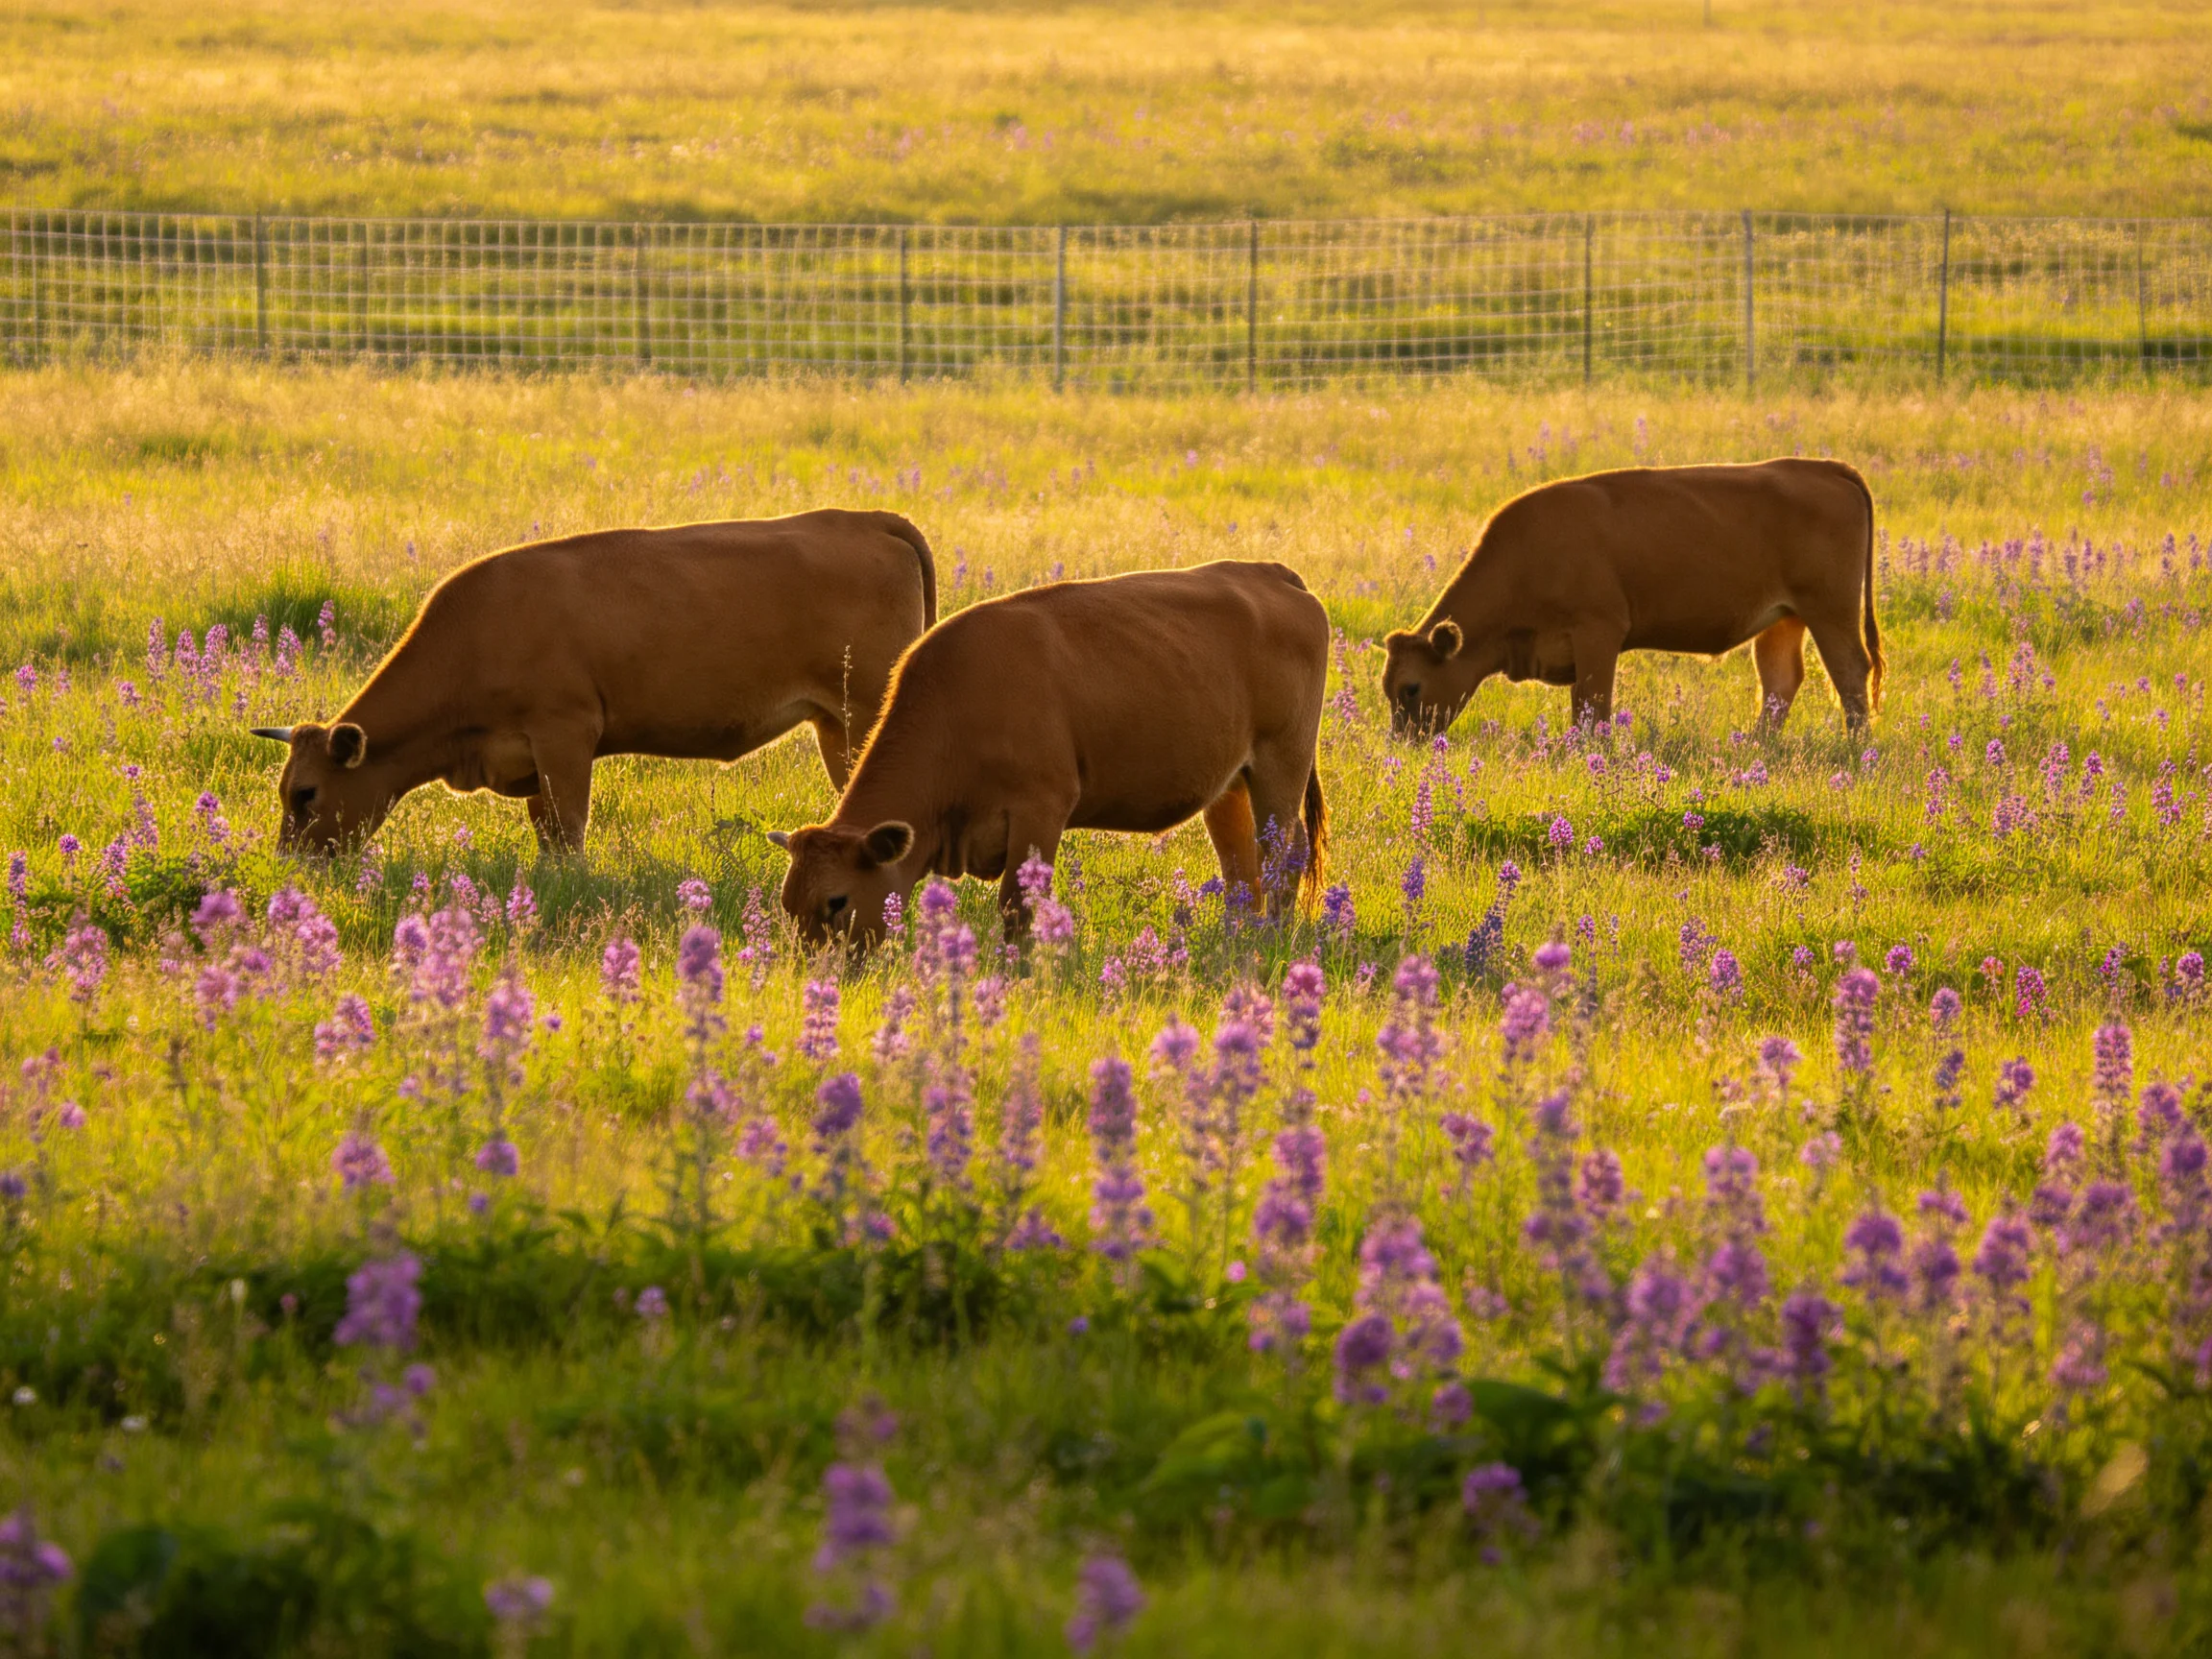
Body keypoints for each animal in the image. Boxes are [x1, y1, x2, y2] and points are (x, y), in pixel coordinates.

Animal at [252, 510, 936, 854]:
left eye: (307, 793)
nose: (290, 865)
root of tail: (864, 519)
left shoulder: (564, 735)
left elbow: (567, 828)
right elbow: (546, 832)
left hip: (865, 711)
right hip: (833, 725)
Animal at [768, 560, 1330, 946]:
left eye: (836, 901)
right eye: (787, 903)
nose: (816, 972)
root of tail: (1268, 573)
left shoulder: (1040, 811)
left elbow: (1018, 906)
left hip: (1282, 765)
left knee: (1283, 857)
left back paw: (1270, 940)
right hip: (1231, 784)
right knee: (1241, 870)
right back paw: (1240, 939)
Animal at [1381, 459, 1882, 737]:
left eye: (1412, 687)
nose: (1405, 746)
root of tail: (1823, 467)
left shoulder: (1597, 636)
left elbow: (1592, 708)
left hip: (1829, 612)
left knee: (1850, 673)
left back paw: (1857, 748)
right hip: (1784, 618)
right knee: (1781, 682)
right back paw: (1759, 746)